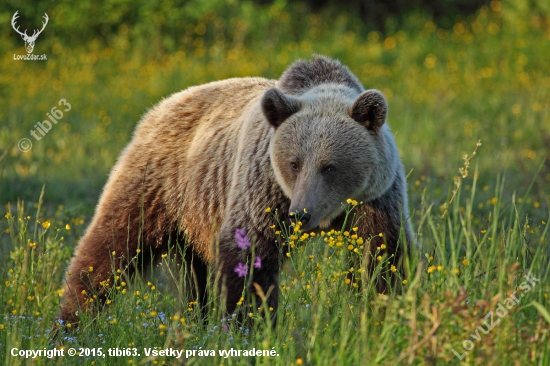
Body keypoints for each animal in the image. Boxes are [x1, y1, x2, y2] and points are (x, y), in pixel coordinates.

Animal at [59, 55, 414, 326]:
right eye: (294, 163)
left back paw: (196, 320)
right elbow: (250, 256)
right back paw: (71, 322)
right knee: (111, 245)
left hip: (195, 212)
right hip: (158, 181)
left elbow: (382, 255)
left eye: (330, 166)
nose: (301, 214)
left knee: (194, 274)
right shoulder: (264, 189)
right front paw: (251, 324)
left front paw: (385, 314)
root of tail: (161, 106)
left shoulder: (375, 198)